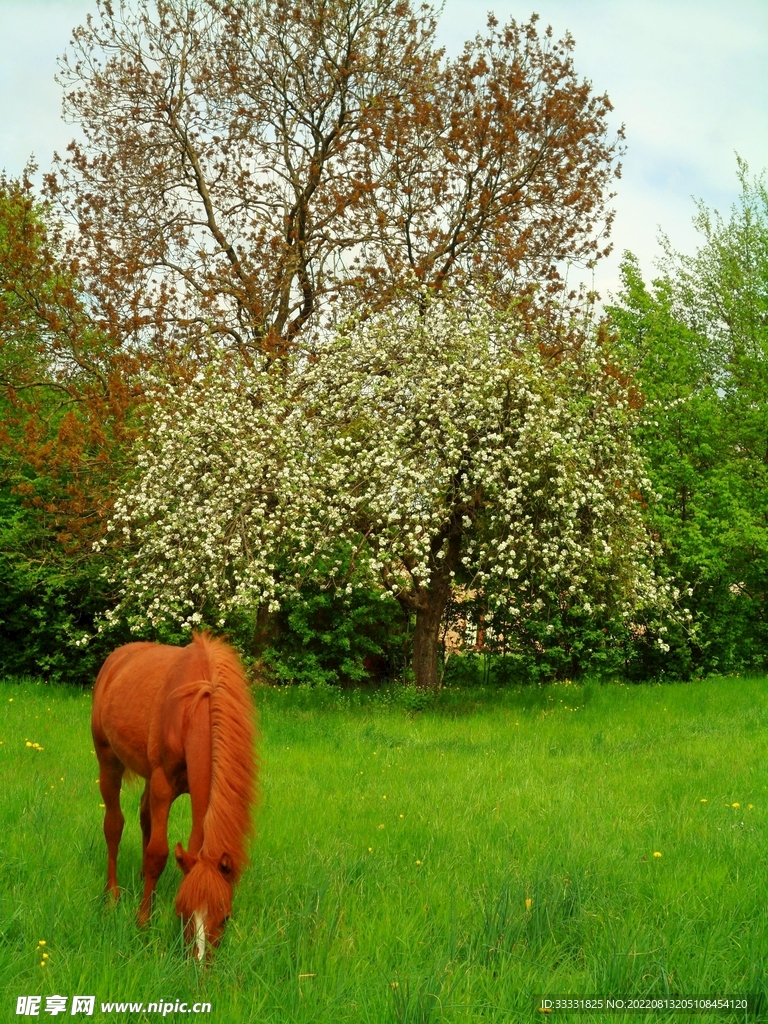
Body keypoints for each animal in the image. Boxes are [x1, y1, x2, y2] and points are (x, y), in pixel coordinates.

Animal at [91, 632, 257, 959]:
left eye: (226, 917)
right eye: (182, 912)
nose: (200, 962)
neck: (192, 711)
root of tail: (117, 657)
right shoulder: (163, 784)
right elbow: (157, 854)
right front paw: (143, 921)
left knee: (144, 816)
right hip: (108, 761)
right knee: (113, 825)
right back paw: (112, 895)